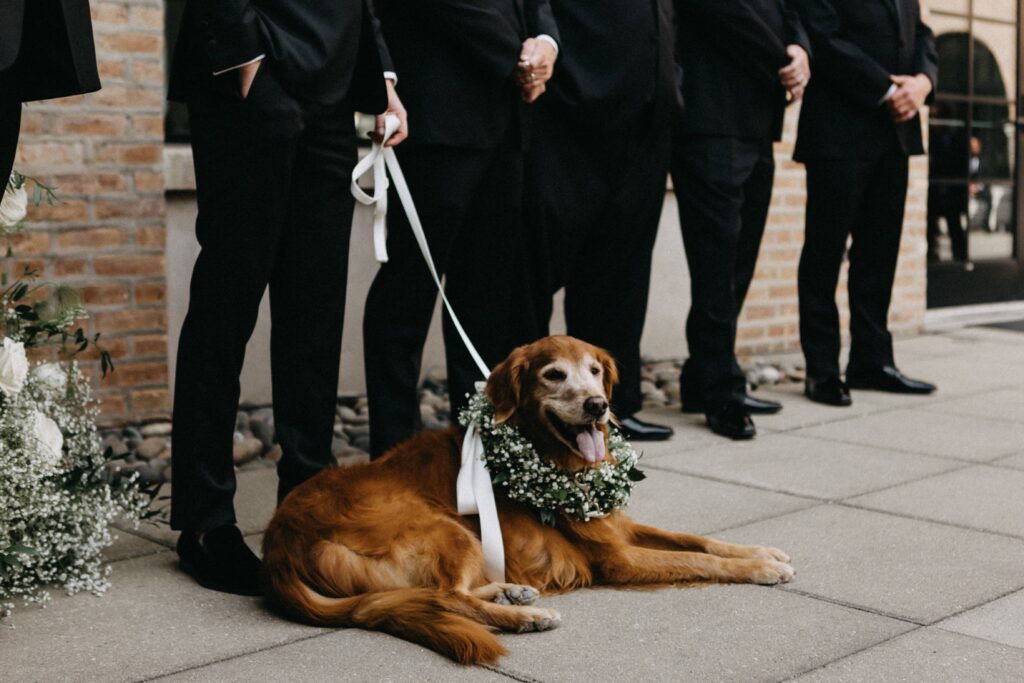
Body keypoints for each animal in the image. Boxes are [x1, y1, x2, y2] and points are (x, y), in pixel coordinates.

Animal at [262, 335, 790, 667]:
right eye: (553, 375)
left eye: (594, 371)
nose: (598, 405)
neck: (548, 453)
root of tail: (279, 545)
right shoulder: (617, 558)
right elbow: (699, 561)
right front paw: (760, 569)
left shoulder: (615, 524)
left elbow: (699, 540)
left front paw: (762, 551)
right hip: (443, 527)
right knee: (445, 596)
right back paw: (525, 617)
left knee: (447, 593)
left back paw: (511, 592)